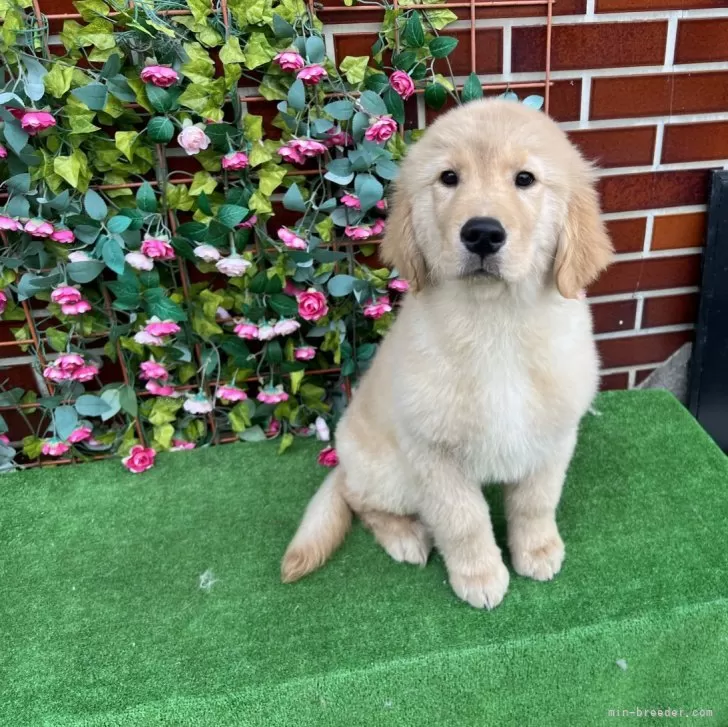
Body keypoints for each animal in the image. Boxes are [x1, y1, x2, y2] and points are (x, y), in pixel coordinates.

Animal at [282, 96, 612, 608]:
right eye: (449, 178)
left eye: (525, 179)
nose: (482, 234)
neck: (497, 322)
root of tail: (344, 460)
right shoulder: (433, 453)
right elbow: (464, 520)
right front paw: (480, 576)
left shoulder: (552, 437)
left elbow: (536, 502)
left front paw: (538, 550)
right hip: (389, 473)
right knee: (360, 501)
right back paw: (404, 536)